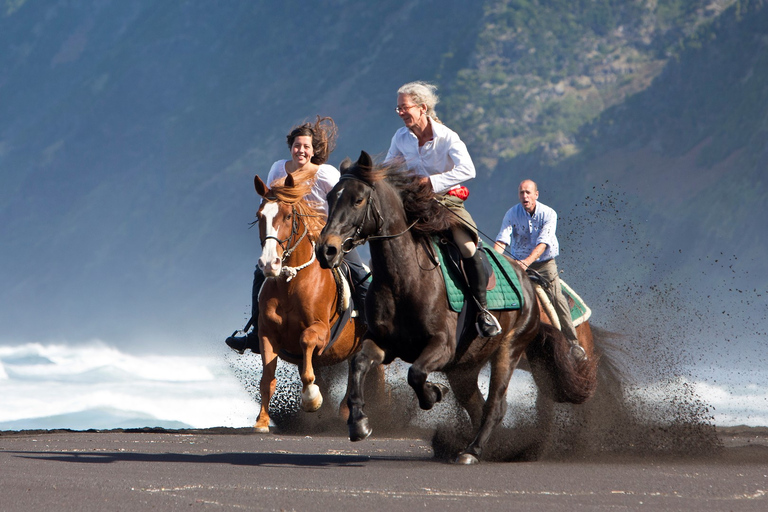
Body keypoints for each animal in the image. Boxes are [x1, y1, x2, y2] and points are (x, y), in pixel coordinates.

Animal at [252, 169, 366, 432]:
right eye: (259, 216)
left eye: (287, 216)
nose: (269, 263)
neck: (291, 284)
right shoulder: (267, 333)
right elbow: (267, 379)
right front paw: (261, 421)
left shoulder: (321, 330)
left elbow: (306, 342)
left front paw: (311, 398)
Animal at [316, 151, 596, 464]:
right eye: (330, 196)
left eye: (358, 200)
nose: (326, 250)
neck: (405, 279)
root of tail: (528, 281)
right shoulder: (384, 343)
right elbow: (359, 363)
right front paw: (359, 423)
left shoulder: (442, 346)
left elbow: (416, 374)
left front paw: (434, 393)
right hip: (465, 368)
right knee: (477, 405)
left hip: (508, 349)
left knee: (495, 405)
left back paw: (472, 451)